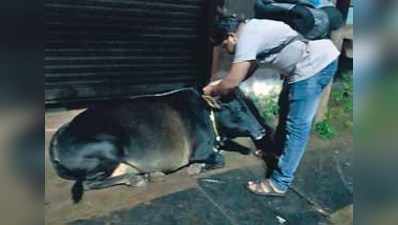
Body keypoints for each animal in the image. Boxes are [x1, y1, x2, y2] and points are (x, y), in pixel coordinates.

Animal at [49, 87, 268, 202]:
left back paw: (149, 174)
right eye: (238, 109)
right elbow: (219, 160)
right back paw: (136, 178)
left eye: (249, 106)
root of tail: (60, 135)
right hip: (108, 148)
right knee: (88, 183)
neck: (208, 114)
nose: (262, 130)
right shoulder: (201, 151)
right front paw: (197, 168)